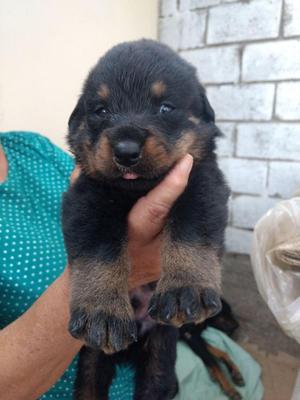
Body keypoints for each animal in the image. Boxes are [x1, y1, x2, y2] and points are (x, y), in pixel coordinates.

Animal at [62, 38, 229, 400]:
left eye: (165, 108)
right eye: (101, 111)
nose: (125, 150)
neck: (137, 192)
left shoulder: (202, 181)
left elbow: (192, 230)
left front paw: (185, 288)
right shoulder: (87, 197)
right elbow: (99, 252)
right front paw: (103, 311)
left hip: (160, 354)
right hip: (93, 360)